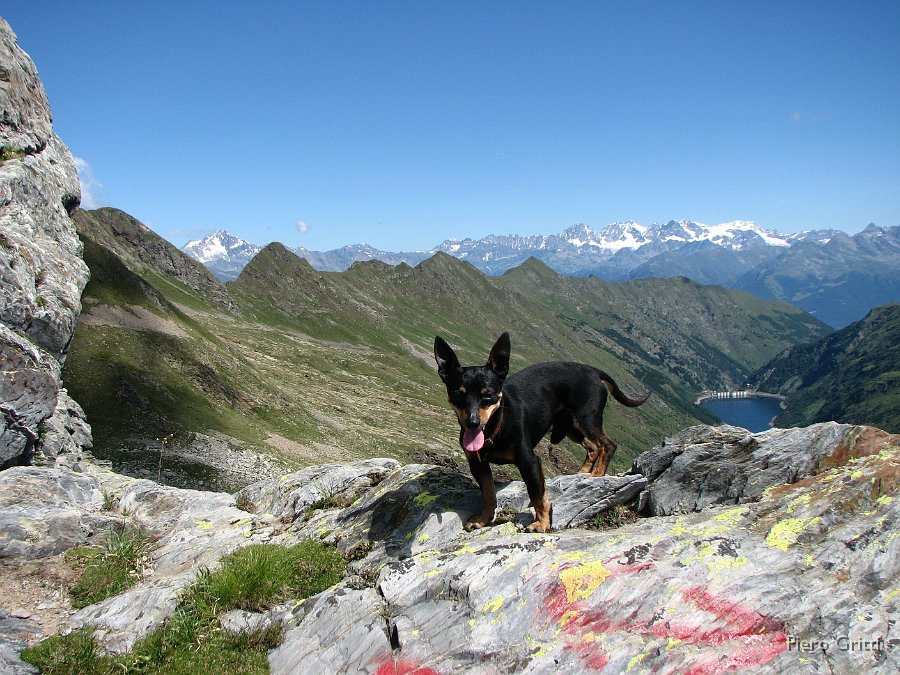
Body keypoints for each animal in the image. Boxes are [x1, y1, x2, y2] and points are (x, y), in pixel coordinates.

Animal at [434, 332, 652, 532]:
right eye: (458, 394)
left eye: (488, 395)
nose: (472, 423)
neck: (495, 429)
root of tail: (592, 370)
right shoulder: (478, 464)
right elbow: (488, 494)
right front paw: (483, 519)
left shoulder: (529, 462)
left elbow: (537, 494)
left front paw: (542, 523)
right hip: (571, 427)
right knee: (592, 446)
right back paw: (582, 472)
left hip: (586, 418)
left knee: (607, 444)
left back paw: (597, 475)